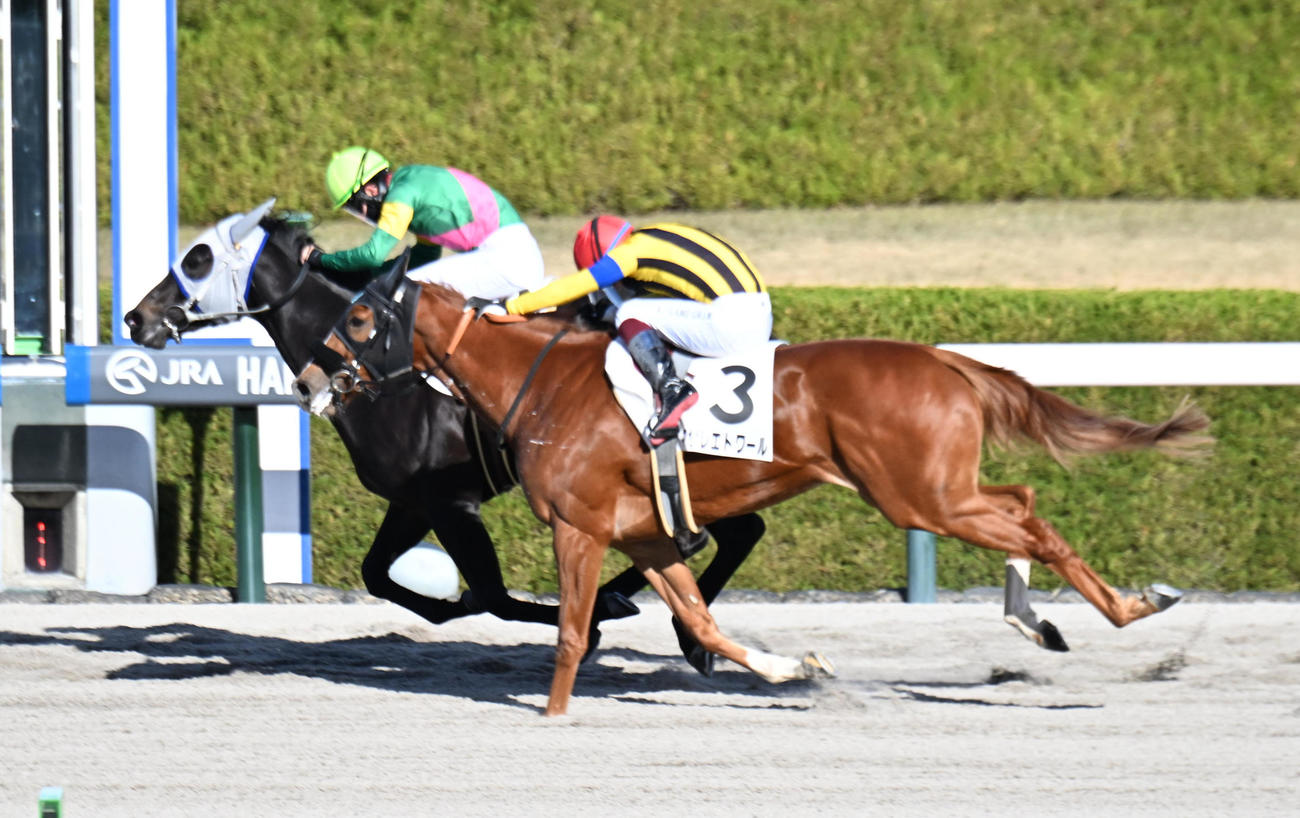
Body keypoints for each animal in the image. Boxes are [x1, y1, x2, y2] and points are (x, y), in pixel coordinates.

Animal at [122, 203, 768, 671]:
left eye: (198, 258)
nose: (135, 318)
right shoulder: (412, 501)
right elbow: (378, 575)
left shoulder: (452, 503)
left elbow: (494, 597)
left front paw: (589, 622)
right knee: (735, 531)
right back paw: (681, 629)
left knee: (716, 534)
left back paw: (666, 620)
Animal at [293, 281, 1211, 715]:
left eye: (362, 319)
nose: (306, 380)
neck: (544, 384)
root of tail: (943, 358)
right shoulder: (644, 535)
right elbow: (699, 621)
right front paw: (791, 666)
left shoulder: (581, 527)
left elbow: (572, 631)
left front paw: (552, 717)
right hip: (937, 488)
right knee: (1020, 500)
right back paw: (1045, 619)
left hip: (919, 496)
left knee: (1029, 519)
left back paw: (1130, 606)